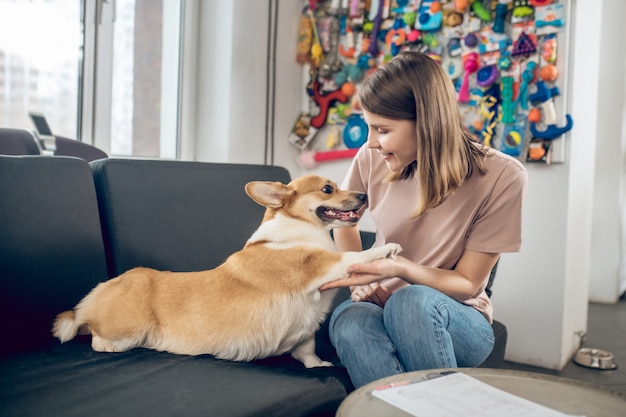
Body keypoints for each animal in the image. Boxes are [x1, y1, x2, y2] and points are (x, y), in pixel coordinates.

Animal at [52, 174, 400, 366]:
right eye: (328, 189)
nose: (363, 196)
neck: (300, 229)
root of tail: (95, 295)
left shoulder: (307, 328)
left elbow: (308, 349)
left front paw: (319, 366)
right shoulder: (318, 267)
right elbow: (354, 256)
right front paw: (387, 250)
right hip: (128, 326)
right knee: (95, 336)